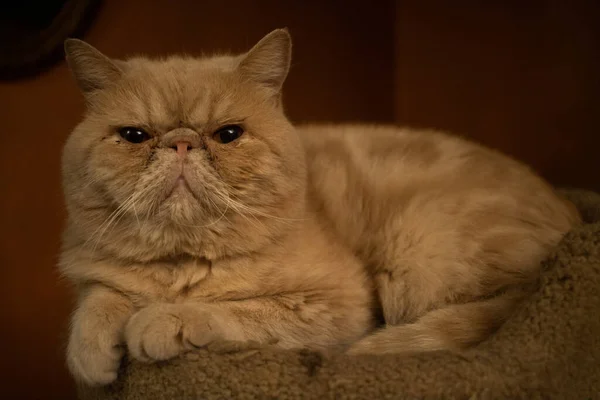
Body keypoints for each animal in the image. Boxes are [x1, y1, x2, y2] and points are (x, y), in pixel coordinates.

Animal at [59, 28, 576, 384]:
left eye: (229, 134)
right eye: (135, 136)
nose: (182, 143)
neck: (181, 261)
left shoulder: (337, 305)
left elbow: (236, 310)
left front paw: (162, 320)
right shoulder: (98, 270)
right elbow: (99, 294)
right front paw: (92, 350)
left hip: (420, 262)